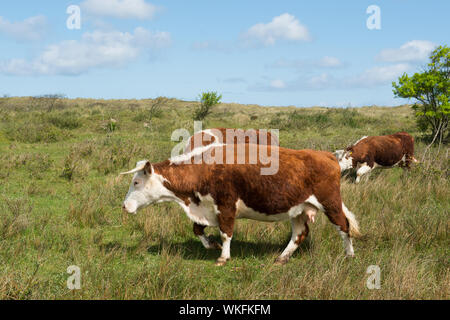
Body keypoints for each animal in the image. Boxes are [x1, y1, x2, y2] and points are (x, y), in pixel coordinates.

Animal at [121, 144, 360, 266]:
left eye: (136, 182)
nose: (124, 206)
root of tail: (327, 155)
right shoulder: (207, 208)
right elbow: (197, 229)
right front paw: (211, 244)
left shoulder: (226, 206)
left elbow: (226, 233)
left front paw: (223, 256)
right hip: (298, 210)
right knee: (300, 234)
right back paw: (281, 258)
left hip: (330, 203)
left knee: (344, 227)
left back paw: (349, 255)